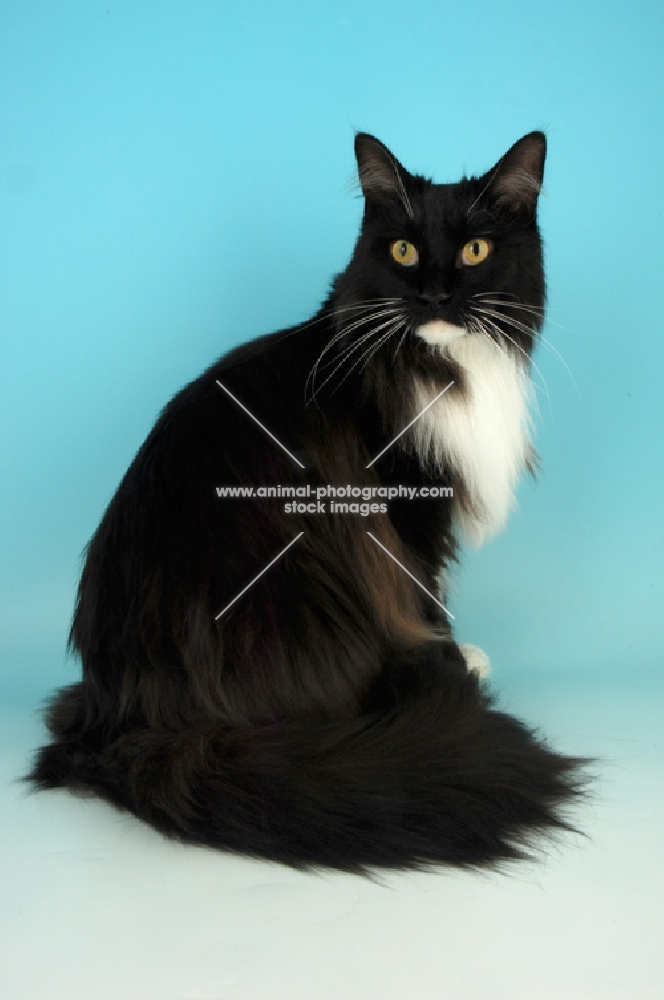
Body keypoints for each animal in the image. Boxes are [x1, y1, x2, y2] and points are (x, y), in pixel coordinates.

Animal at [28, 129, 588, 872]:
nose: (436, 293)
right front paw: (453, 657)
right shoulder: (408, 511)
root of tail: (121, 724)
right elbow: (427, 599)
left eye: (475, 251)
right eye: (403, 251)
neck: (439, 367)